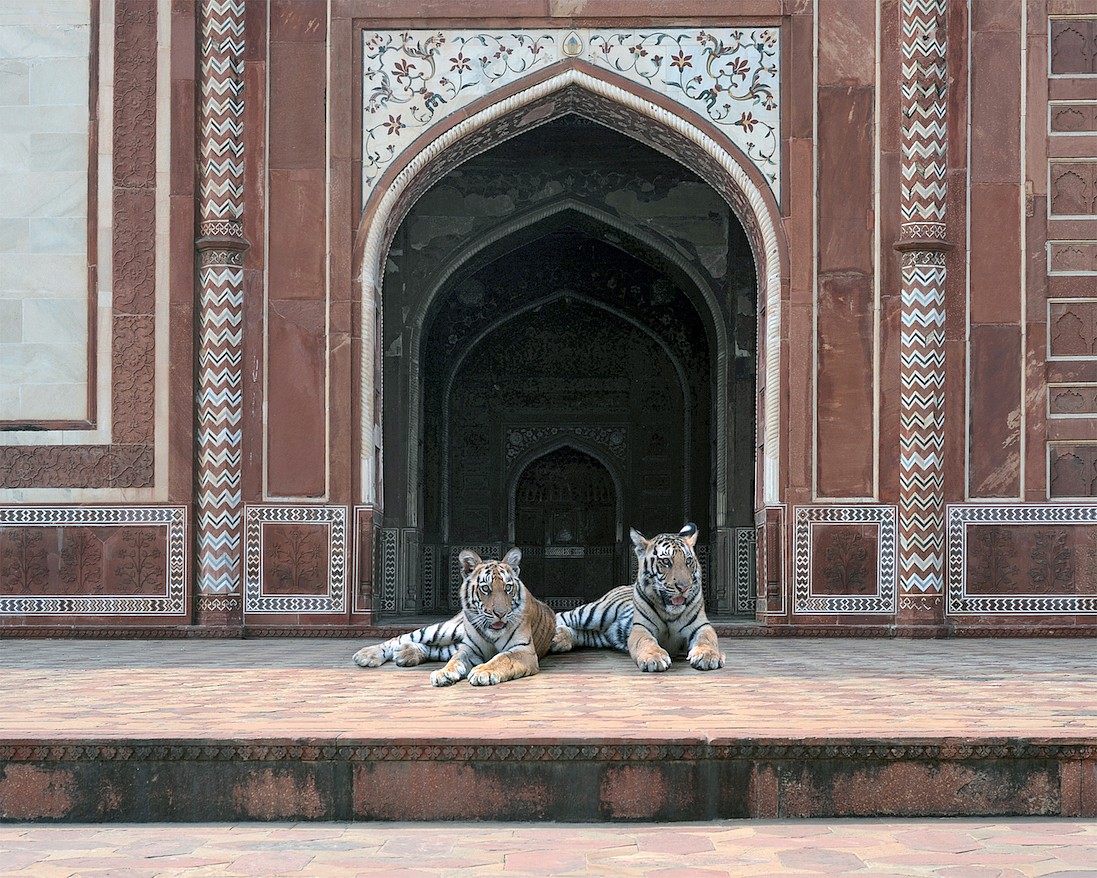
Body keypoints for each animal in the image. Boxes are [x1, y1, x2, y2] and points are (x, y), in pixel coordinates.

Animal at [351, 548, 557, 684]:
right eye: (485, 588)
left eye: (508, 588)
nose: (501, 613)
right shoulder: (469, 648)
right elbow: (455, 660)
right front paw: (444, 673)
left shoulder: (523, 651)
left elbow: (501, 658)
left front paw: (482, 672)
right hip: (446, 630)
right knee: (402, 638)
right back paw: (367, 655)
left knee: (434, 649)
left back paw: (406, 654)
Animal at [552, 522, 724, 671]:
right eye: (666, 561)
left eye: (688, 561)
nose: (684, 587)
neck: (670, 612)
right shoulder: (641, 627)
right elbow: (646, 641)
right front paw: (654, 658)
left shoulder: (701, 626)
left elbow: (707, 640)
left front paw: (708, 656)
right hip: (593, 613)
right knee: (560, 616)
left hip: (600, 633)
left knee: (583, 633)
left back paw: (559, 638)